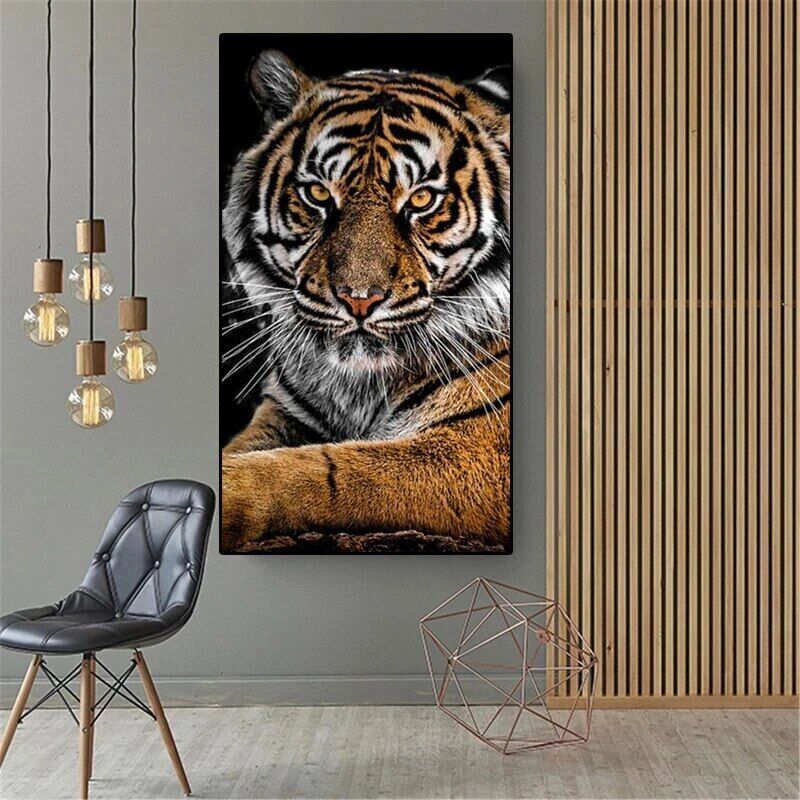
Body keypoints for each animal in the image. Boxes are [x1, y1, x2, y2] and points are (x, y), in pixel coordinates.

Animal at [221, 49, 511, 552]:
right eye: (318, 193)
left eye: (422, 199)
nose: (358, 300)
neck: (359, 387)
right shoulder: (284, 412)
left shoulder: (479, 448)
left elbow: (321, 472)